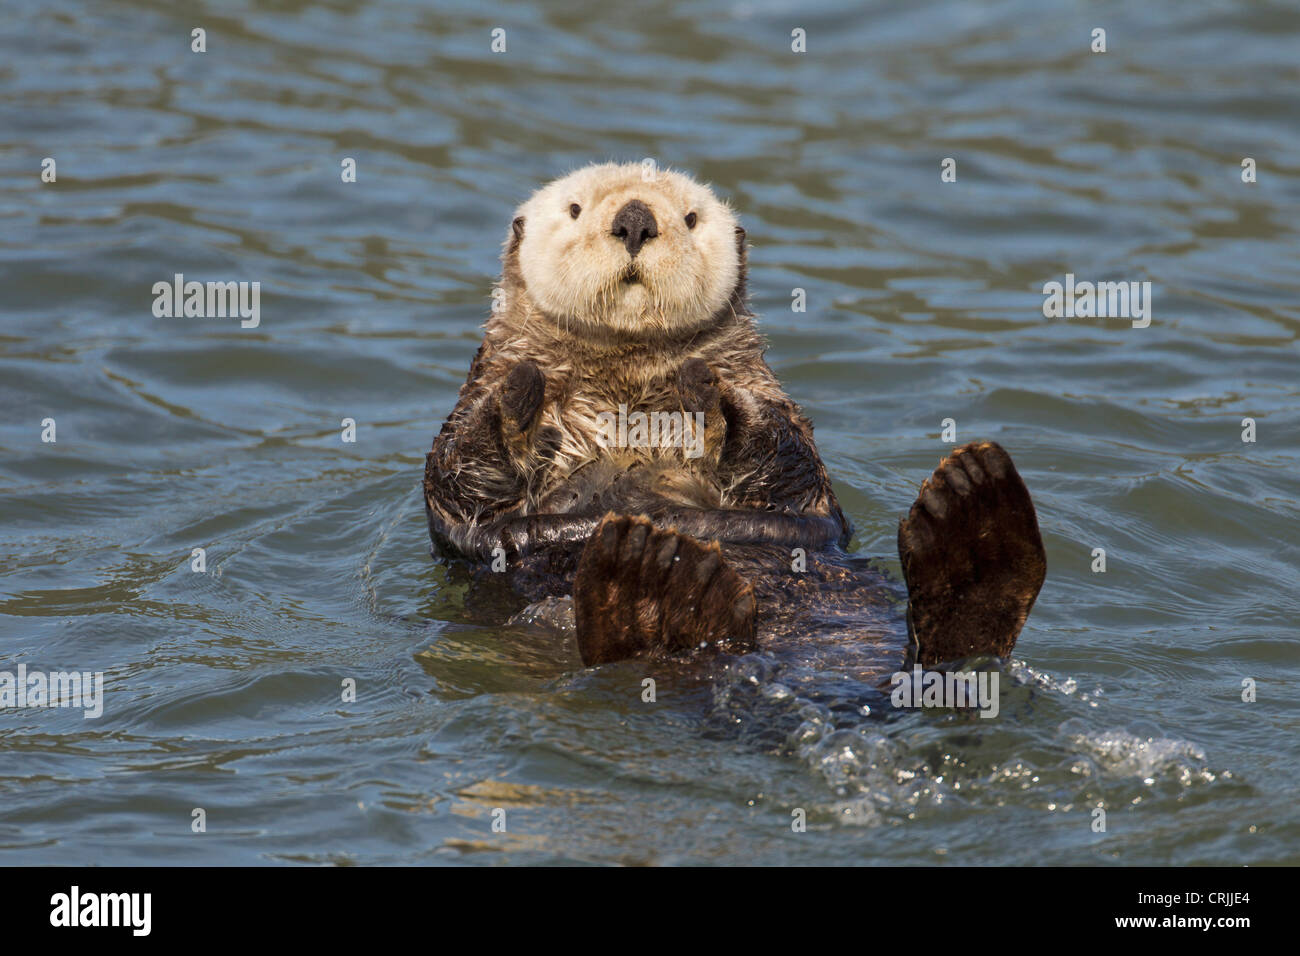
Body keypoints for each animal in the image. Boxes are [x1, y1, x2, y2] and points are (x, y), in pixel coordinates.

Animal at [423, 163, 1046, 676]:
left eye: (690, 218)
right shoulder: (474, 403)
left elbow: (786, 455)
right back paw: (653, 581)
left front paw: (710, 395)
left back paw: (973, 519)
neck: (626, 395)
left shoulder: (767, 396)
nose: (634, 220)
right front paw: (517, 396)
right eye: (575, 209)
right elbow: (458, 473)